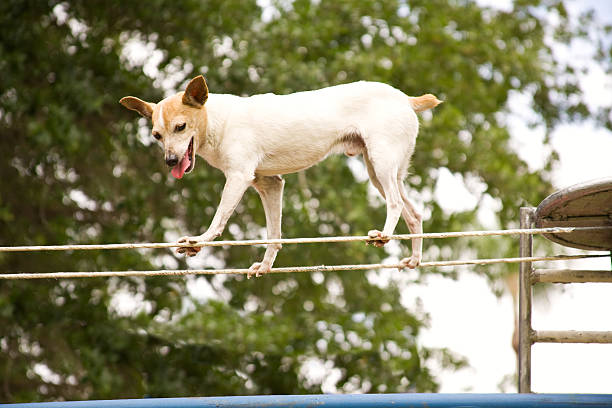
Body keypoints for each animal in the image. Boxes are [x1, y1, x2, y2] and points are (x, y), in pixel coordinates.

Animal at [120, 76, 440, 276]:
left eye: (181, 127)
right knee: (414, 214)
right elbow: (274, 235)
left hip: (381, 161)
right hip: (381, 171)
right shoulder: (269, 184)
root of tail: (406, 99)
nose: (170, 161)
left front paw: (199, 241)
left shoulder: (238, 177)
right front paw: (265, 266)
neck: (217, 122)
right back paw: (415, 259)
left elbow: (219, 219)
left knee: (395, 204)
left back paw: (383, 235)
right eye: (156, 135)